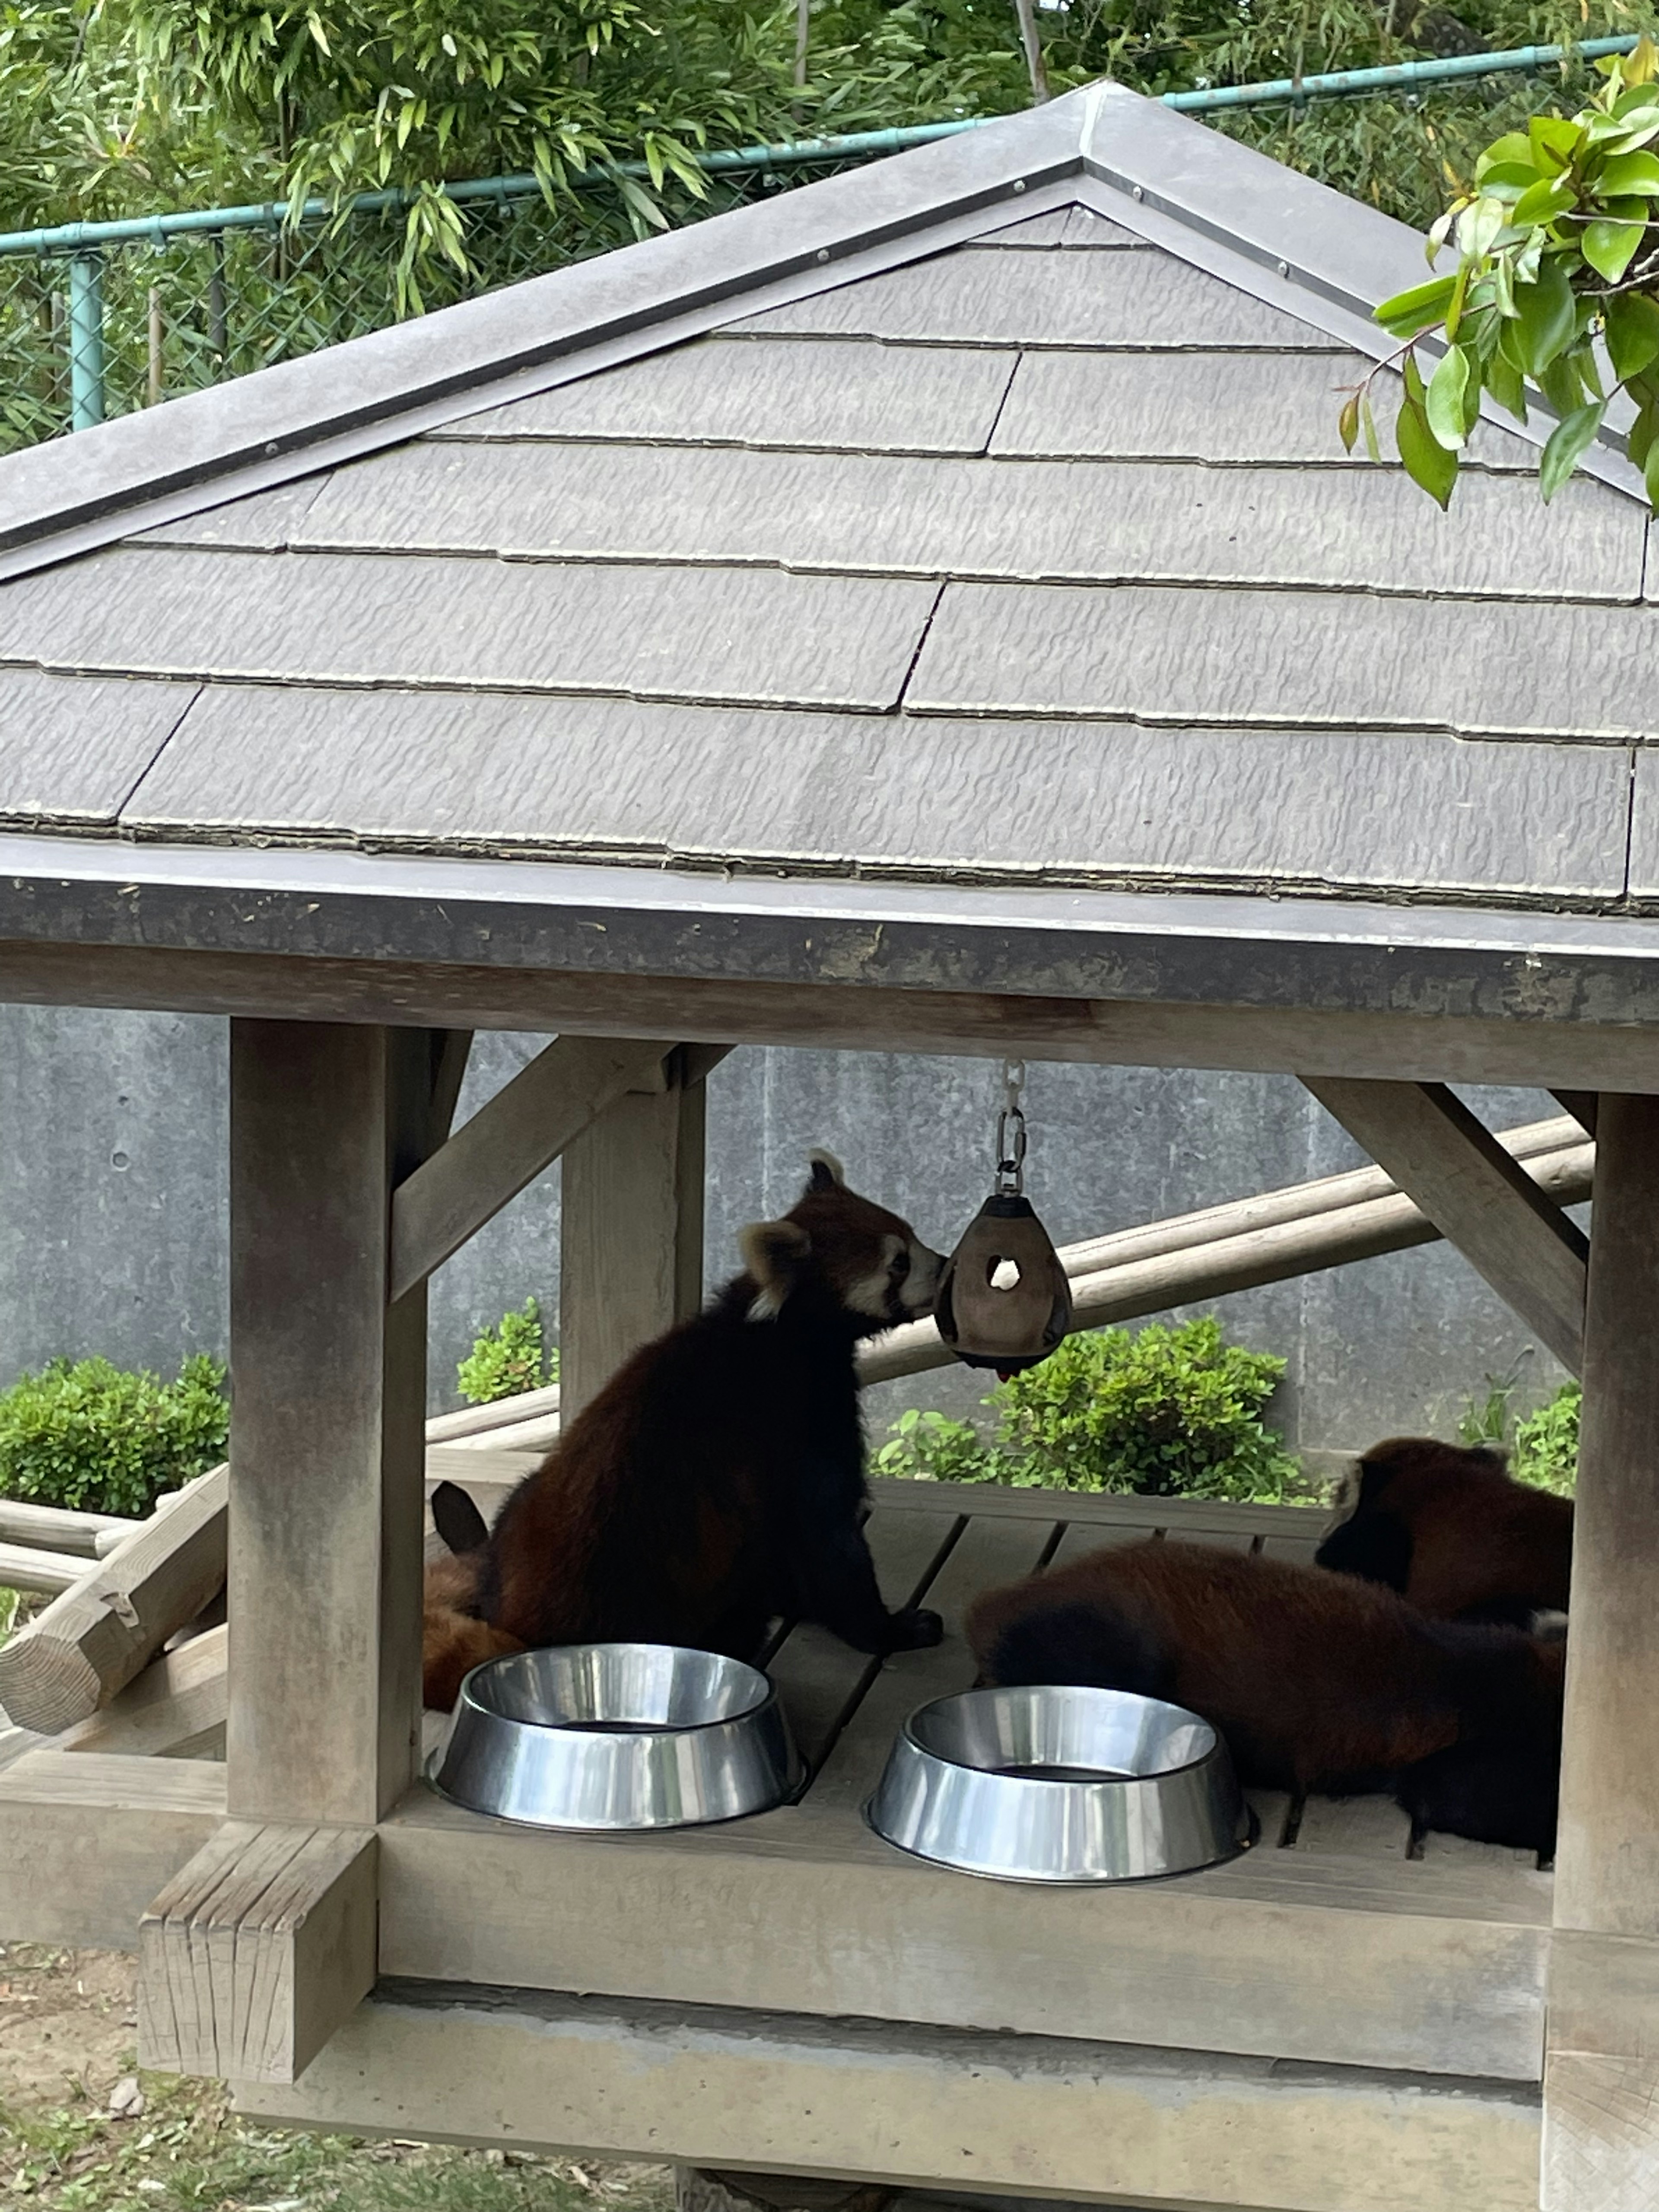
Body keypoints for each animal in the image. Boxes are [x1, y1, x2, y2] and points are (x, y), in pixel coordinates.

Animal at [422, 1159, 947, 1707]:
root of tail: (528, 1637)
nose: (945, 1263)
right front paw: (889, 1629)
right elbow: (828, 1534)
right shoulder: (799, 1418)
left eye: (913, 1236)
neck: (783, 1330)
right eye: (899, 1263)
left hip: (521, 1513)